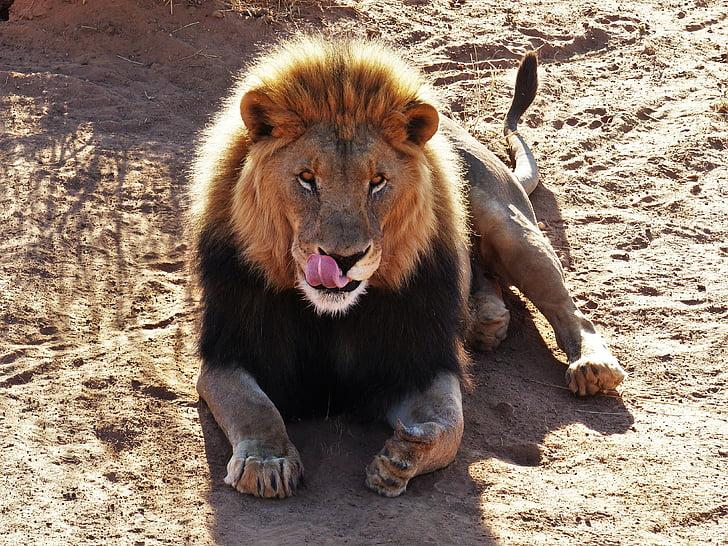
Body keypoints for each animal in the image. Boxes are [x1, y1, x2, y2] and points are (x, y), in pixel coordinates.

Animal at [190, 37, 626, 499]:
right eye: (307, 178)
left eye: (377, 182)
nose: (343, 259)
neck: (330, 316)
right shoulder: (227, 355)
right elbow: (253, 406)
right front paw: (266, 462)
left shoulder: (422, 361)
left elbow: (450, 424)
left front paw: (404, 456)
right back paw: (485, 320)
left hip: (510, 228)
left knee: (570, 309)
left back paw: (591, 365)